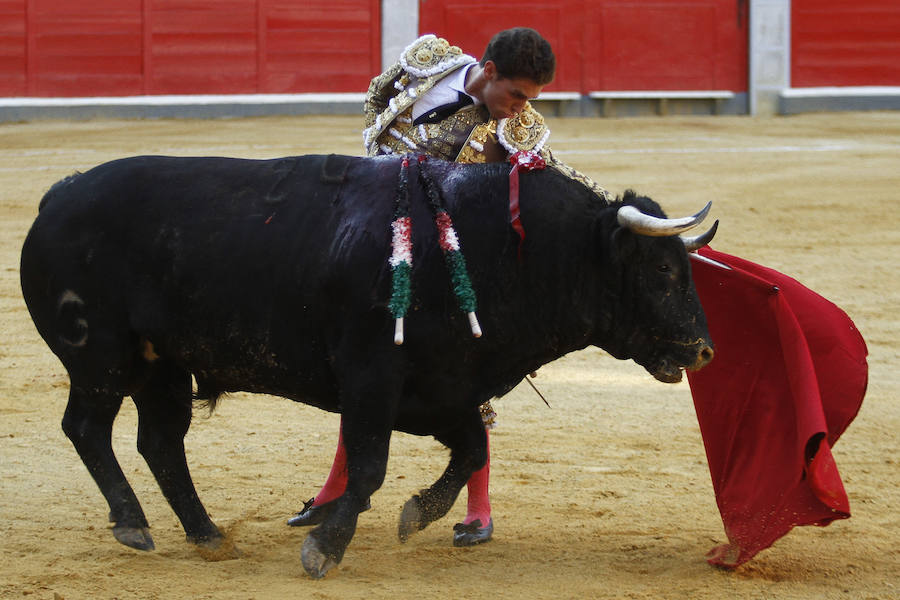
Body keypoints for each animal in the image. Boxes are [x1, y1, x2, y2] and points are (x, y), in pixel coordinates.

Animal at [17, 154, 712, 576]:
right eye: (662, 269)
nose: (705, 350)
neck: (490, 244)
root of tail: (55, 196)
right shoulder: (372, 380)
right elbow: (371, 465)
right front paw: (325, 546)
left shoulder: (440, 390)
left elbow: (469, 451)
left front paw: (417, 515)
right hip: (100, 359)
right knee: (88, 429)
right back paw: (134, 526)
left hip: (163, 369)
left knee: (160, 443)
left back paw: (206, 533)